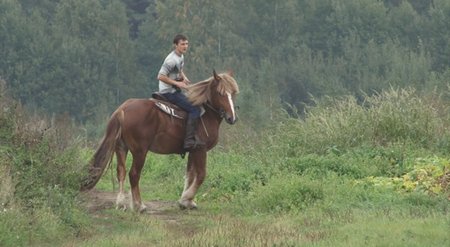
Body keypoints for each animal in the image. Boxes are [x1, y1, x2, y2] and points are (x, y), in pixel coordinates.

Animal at [82, 70, 241, 211]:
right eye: (220, 93)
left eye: (233, 93)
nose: (231, 118)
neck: (206, 114)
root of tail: (122, 109)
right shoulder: (200, 149)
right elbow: (201, 175)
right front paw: (186, 199)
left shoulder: (192, 151)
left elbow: (189, 175)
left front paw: (186, 202)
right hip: (140, 151)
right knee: (134, 174)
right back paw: (139, 206)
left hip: (121, 148)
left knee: (121, 171)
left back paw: (121, 203)